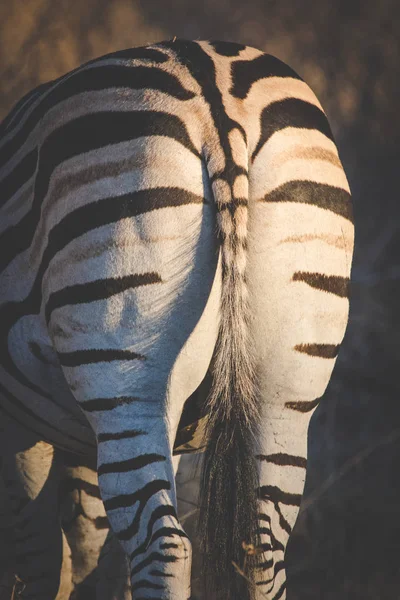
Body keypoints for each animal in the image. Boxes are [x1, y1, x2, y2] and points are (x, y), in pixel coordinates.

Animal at [0, 39, 354, 596]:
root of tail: (217, 99)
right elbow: (82, 550)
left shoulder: (18, 427)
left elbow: (42, 559)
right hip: (287, 388)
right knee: (261, 550)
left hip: (126, 370)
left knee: (162, 549)